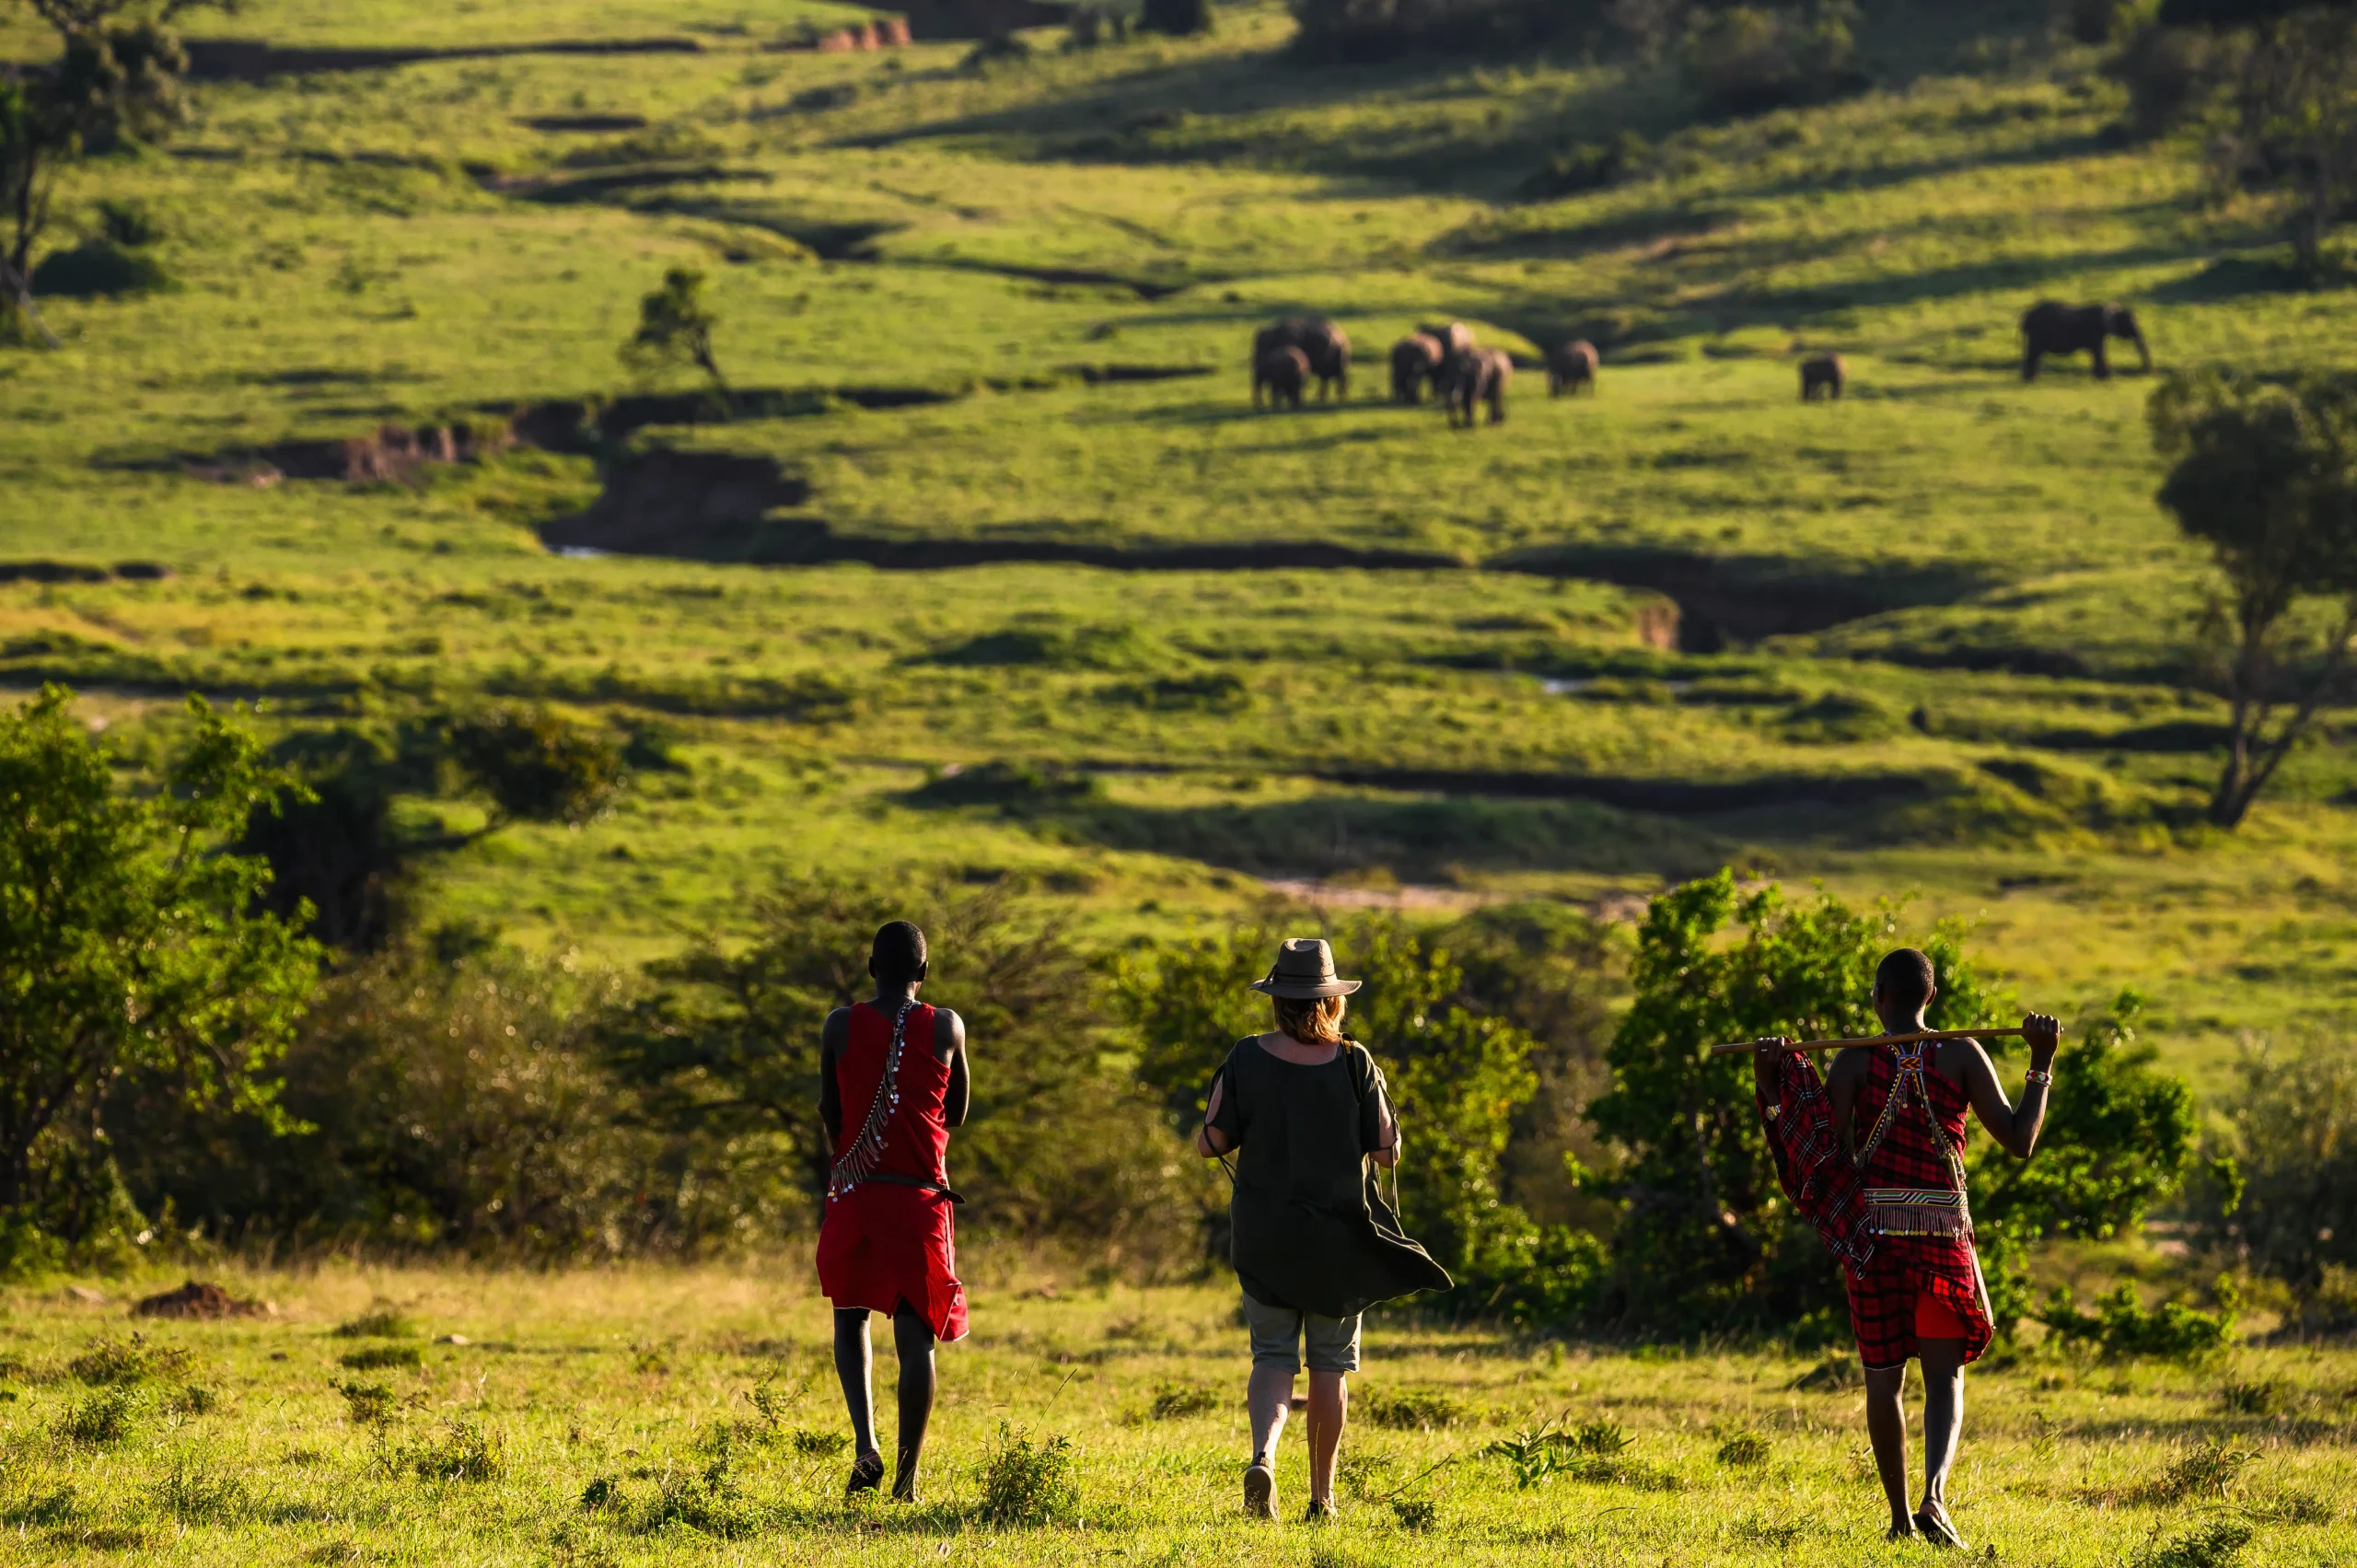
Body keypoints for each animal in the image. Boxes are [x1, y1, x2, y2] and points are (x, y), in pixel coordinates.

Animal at [2020, 301, 2151, 382]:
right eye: (2128, 322)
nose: (2143, 371)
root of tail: (2026, 317)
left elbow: (2097, 353)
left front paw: (2100, 379)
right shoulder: (2095, 332)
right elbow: (2099, 352)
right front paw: (2105, 379)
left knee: (2034, 355)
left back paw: (2032, 379)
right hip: (2037, 334)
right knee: (2033, 354)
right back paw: (2029, 380)